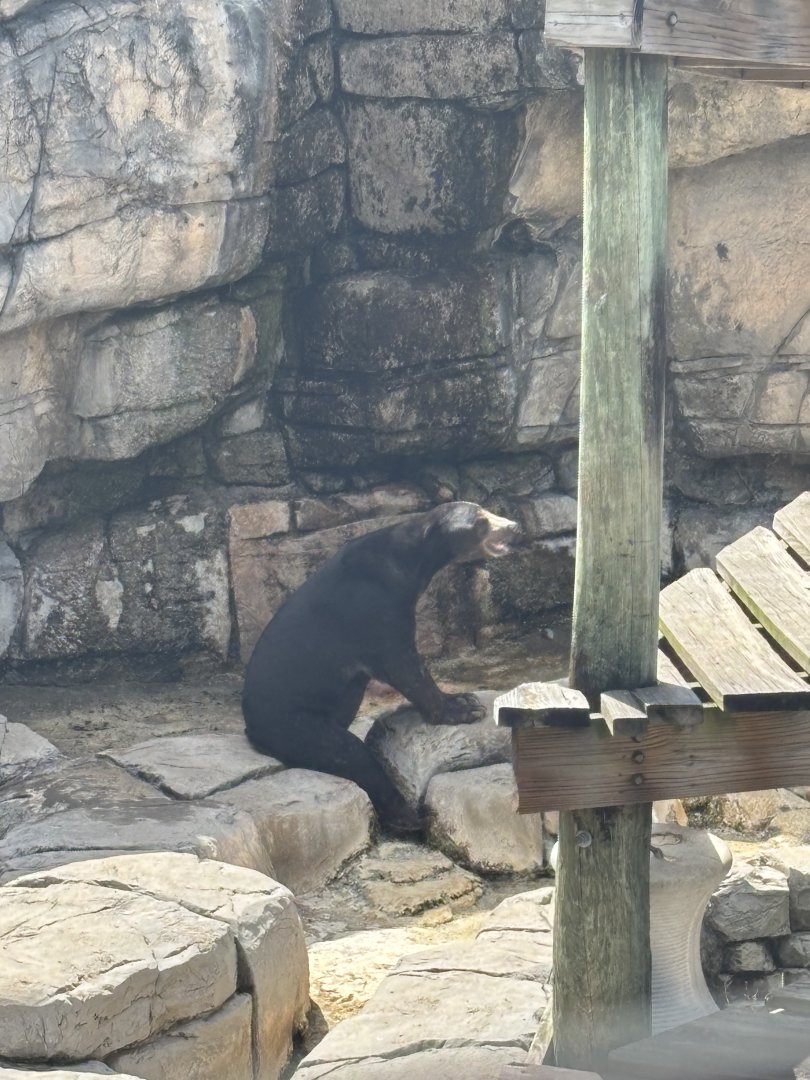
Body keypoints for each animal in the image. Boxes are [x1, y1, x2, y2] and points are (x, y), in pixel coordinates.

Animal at [242, 501, 519, 833]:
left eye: (488, 512)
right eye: (481, 521)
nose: (514, 526)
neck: (409, 559)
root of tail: (251, 728)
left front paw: (464, 698)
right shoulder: (375, 607)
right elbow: (404, 666)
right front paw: (463, 707)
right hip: (295, 723)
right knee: (351, 754)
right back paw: (409, 818)